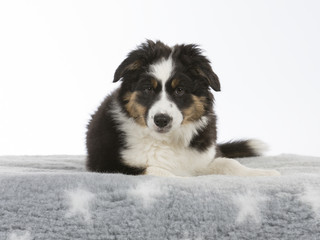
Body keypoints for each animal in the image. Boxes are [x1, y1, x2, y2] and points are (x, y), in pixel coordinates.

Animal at [85, 40, 280, 176]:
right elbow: (157, 170)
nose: (162, 120)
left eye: (180, 90)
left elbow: (229, 163)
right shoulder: (109, 165)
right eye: (148, 89)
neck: (167, 141)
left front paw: (263, 174)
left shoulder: (202, 159)